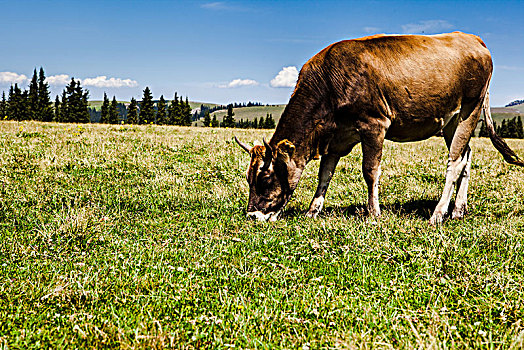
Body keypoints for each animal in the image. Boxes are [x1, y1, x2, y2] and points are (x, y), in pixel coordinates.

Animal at [235, 32, 520, 224]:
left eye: (265, 177)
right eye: (248, 177)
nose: (252, 215)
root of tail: (473, 38)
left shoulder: (374, 125)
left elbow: (370, 171)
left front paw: (374, 213)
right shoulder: (337, 137)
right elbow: (325, 174)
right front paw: (313, 210)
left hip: (470, 109)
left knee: (455, 162)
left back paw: (438, 214)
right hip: (451, 121)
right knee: (466, 157)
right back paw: (458, 210)